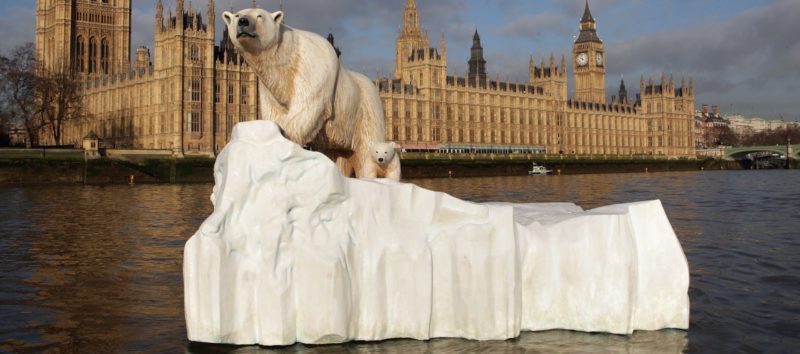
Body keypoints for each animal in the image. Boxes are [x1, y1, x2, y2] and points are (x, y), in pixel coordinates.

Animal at [220, 7, 398, 180]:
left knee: (367, 159)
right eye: (237, 15)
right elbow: (274, 115)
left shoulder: (314, 75)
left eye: (260, 15)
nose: (243, 21)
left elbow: (303, 115)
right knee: (339, 160)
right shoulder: (268, 92)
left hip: (368, 119)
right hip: (339, 142)